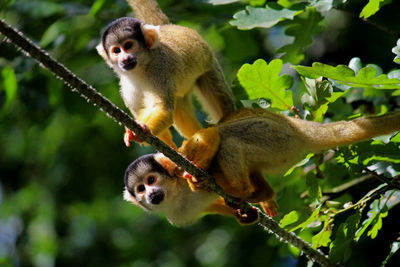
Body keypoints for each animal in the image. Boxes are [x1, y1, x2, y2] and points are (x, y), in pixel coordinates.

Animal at [97, 0, 234, 149]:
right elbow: (144, 110)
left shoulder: (160, 69)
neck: (141, 69)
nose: (124, 58)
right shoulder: (126, 85)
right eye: (116, 50)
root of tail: (169, 26)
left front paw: (142, 129)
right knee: (179, 105)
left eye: (128, 46)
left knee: (221, 102)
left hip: (209, 64)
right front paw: (167, 146)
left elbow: (164, 109)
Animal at [122, 109, 400, 226]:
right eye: (140, 189)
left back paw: (240, 189)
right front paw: (244, 216)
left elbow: (211, 135)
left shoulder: (172, 163)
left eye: (151, 180)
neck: (175, 195)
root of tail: (299, 129)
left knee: (227, 136)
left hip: (272, 135)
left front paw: (196, 172)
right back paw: (262, 194)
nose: (151, 194)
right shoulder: (179, 216)